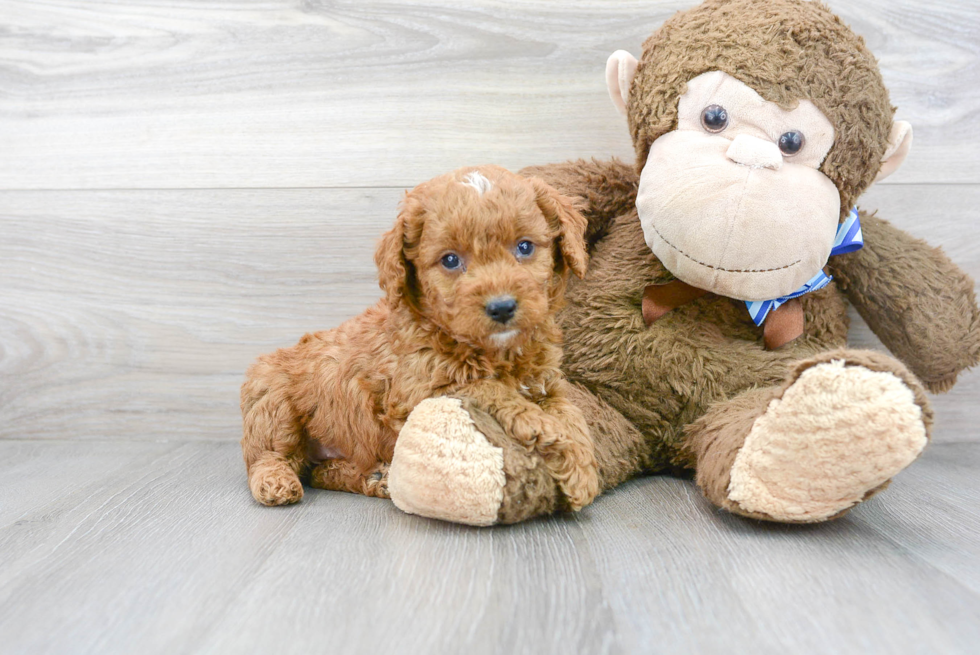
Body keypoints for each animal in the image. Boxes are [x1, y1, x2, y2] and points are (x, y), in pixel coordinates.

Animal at [241, 165, 600, 512]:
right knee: (268, 455)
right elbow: (488, 389)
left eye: (524, 246)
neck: (494, 350)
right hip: (271, 401)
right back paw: (276, 482)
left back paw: (375, 477)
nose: (501, 307)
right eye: (450, 260)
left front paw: (581, 468)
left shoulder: (546, 382)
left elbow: (572, 414)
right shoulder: (421, 388)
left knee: (318, 473)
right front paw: (544, 428)